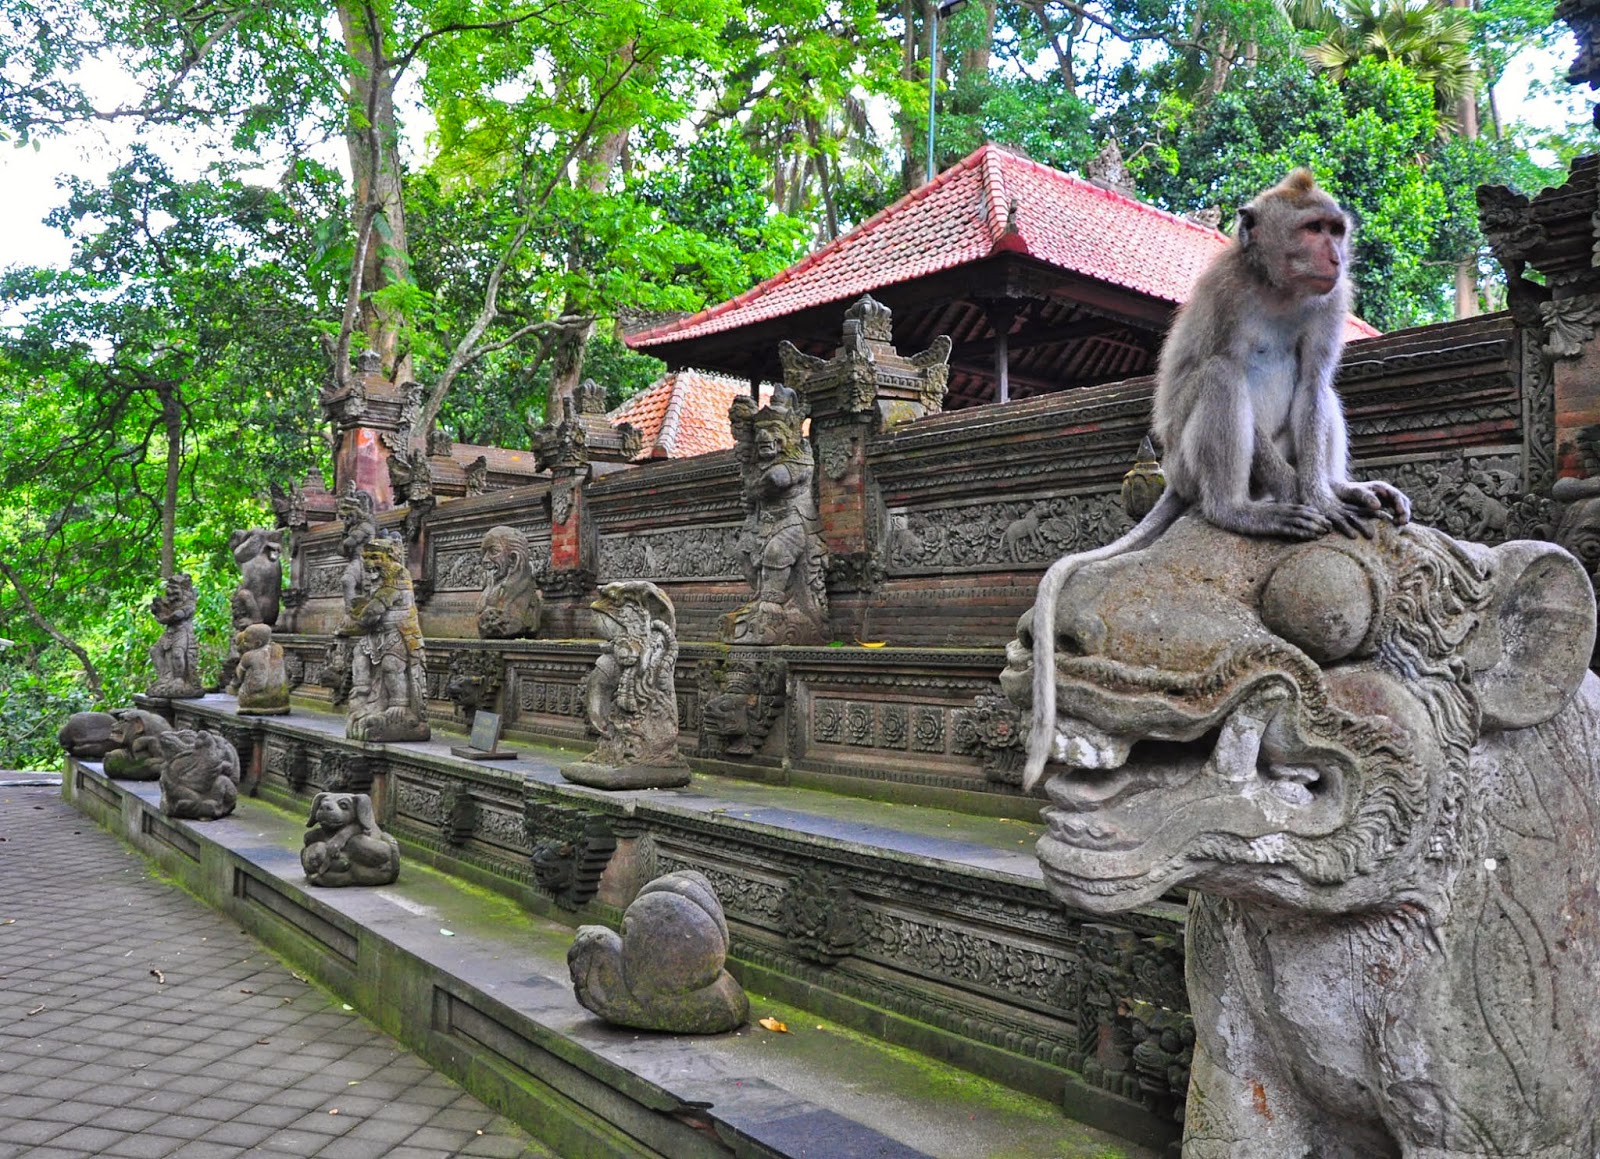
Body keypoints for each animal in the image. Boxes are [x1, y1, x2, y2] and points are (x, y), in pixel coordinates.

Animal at [1024, 172, 1414, 787]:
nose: (1335, 256)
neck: (1279, 289)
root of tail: (1177, 478)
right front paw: (1306, 499)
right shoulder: (1225, 292)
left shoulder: (1331, 302)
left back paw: (1337, 487)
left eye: (1334, 230)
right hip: (1186, 457)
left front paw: (1323, 494)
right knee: (1220, 375)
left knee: (1319, 391)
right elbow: (1225, 362)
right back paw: (1240, 509)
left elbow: (1313, 383)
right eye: (1312, 229)